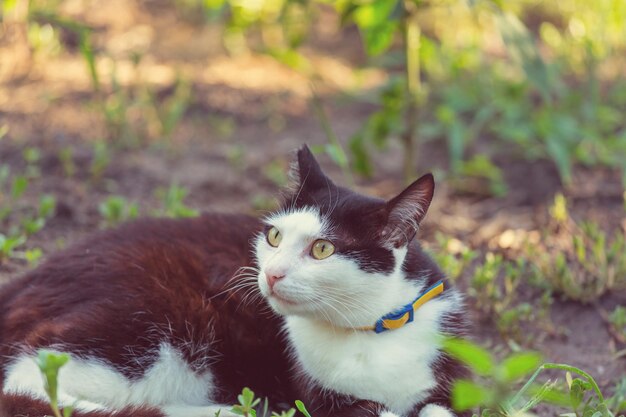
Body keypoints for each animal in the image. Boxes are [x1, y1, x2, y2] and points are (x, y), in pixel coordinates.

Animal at [0, 145, 466, 416]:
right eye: (275, 236)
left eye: (322, 249)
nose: (272, 274)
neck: (372, 329)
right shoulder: (323, 398)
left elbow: (438, 409)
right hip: (149, 320)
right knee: (28, 384)